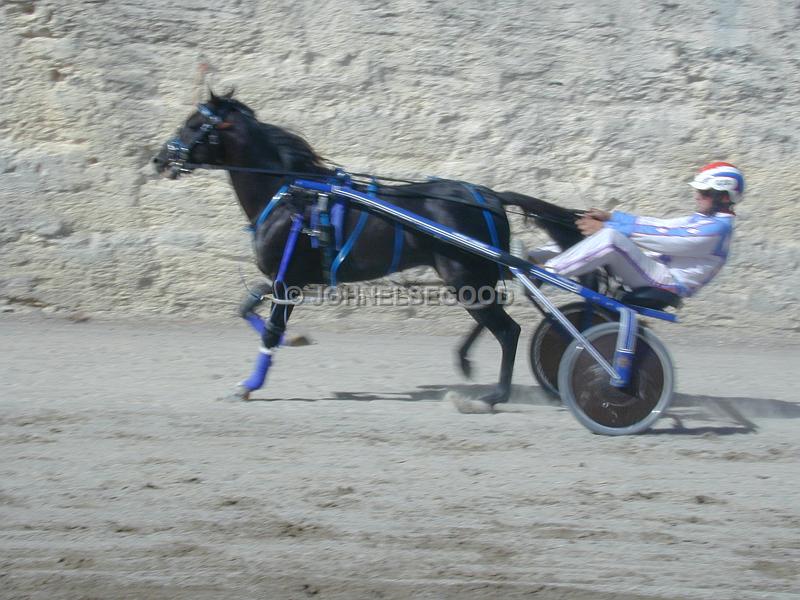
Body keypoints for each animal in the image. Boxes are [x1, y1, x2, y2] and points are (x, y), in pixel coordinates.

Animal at [155, 91, 580, 406]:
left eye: (193, 124)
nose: (160, 158)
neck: (290, 193)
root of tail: (489, 196)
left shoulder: (288, 279)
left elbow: (271, 332)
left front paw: (248, 386)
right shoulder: (284, 277)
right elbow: (246, 308)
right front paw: (294, 340)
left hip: (464, 274)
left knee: (507, 329)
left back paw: (496, 394)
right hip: (472, 275)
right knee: (491, 316)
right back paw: (465, 363)